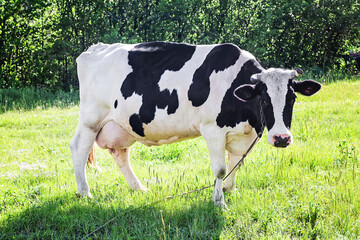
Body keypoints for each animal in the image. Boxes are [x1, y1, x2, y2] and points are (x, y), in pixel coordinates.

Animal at [69, 41, 320, 206]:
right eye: (264, 98)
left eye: (292, 98)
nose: (281, 138)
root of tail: (95, 48)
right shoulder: (213, 129)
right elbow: (220, 169)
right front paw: (219, 201)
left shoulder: (242, 134)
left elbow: (236, 163)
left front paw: (230, 190)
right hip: (91, 118)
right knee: (79, 148)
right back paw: (84, 192)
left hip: (122, 125)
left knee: (120, 154)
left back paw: (139, 188)